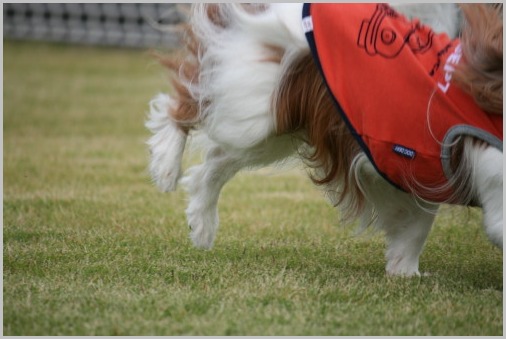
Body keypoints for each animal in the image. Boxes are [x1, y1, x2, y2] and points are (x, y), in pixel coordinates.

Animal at [146, 3, 502, 278]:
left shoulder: (414, 170)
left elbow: (413, 227)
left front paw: (404, 272)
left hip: (272, 125)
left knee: (215, 162)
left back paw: (201, 224)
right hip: (254, 100)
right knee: (180, 106)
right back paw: (166, 165)